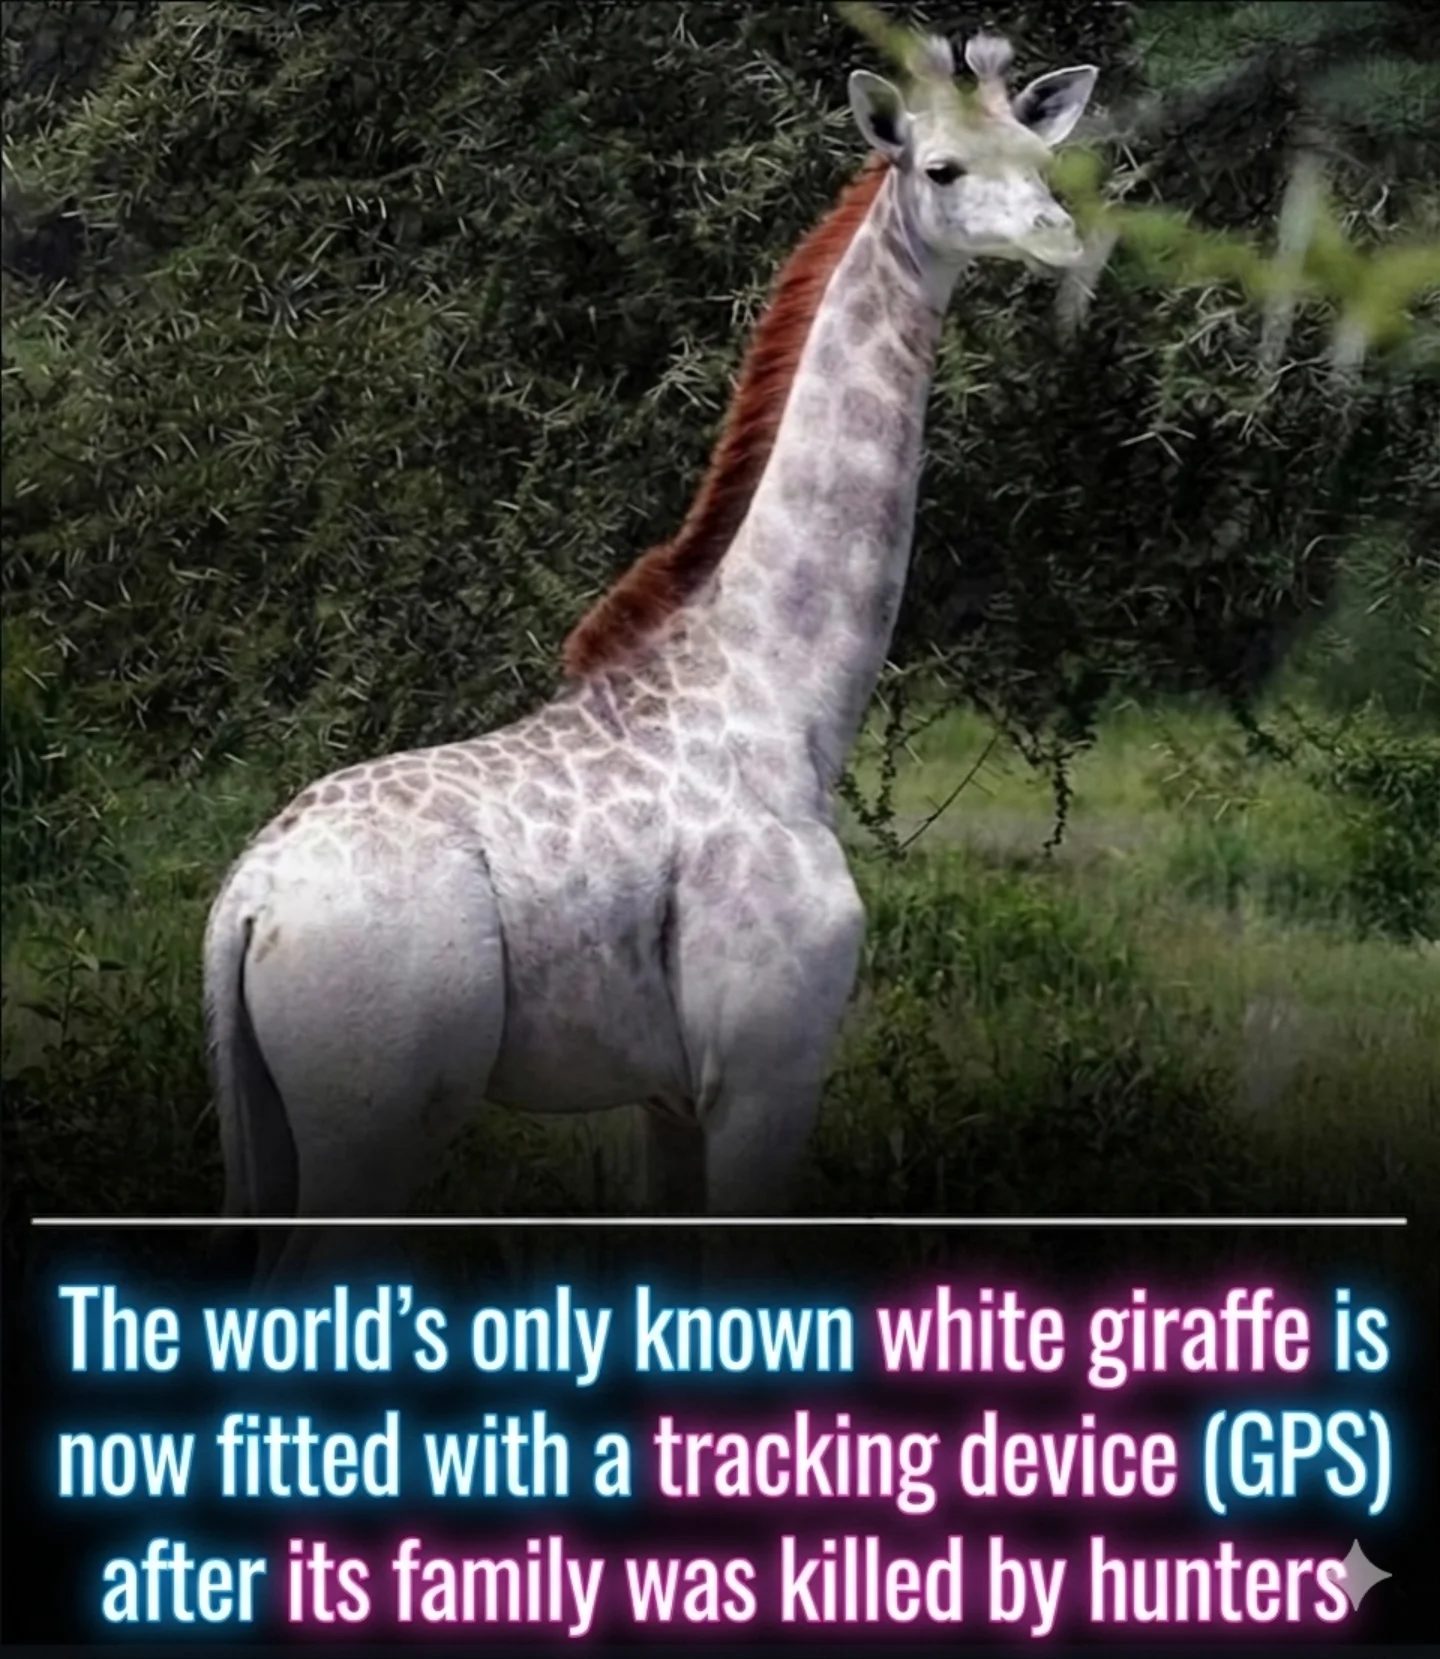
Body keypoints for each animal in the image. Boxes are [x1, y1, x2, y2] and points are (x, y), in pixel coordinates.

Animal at [205, 33, 1097, 1268]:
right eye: (943, 168)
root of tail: (244, 904)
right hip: (377, 1122)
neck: (782, 698)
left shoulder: (669, 1095)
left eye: (1042, 156)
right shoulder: (765, 1069)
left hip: (275, 1125)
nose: (1060, 235)